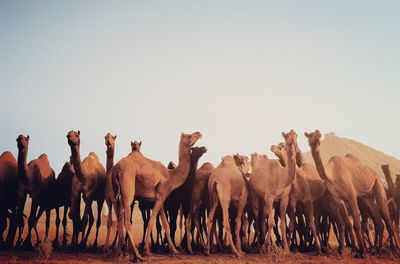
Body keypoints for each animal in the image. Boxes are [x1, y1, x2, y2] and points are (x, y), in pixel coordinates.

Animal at [108, 131, 203, 260]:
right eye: (189, 136)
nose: (199, 133)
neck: (171, 176)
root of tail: (115, 170)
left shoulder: (161, 199)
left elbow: (166, 224)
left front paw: (174, 250)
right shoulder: (160, 196)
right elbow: (151, 222)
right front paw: (146, 250)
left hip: (115, 196)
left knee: (118, 219)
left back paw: (118, 252)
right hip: (128, 189)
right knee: (127, 221)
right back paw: (137, 255)